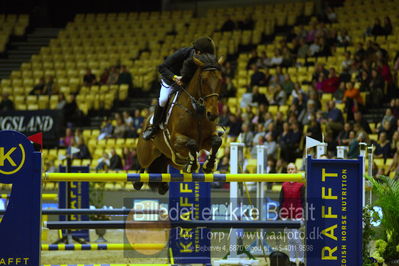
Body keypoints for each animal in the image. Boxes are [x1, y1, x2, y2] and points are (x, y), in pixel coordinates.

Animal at [136, 54, 225, 195]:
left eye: (220, 80)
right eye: (203, 80)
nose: (212, 114)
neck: (197, 111)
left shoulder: (205, 141)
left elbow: (217, 141)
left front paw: (208, 165)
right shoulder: (176, 140)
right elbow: (192, 143)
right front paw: (193, 165)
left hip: (171, 159)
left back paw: (163, 186)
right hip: (146, 154)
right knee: (143, 164)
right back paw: (138, 181)